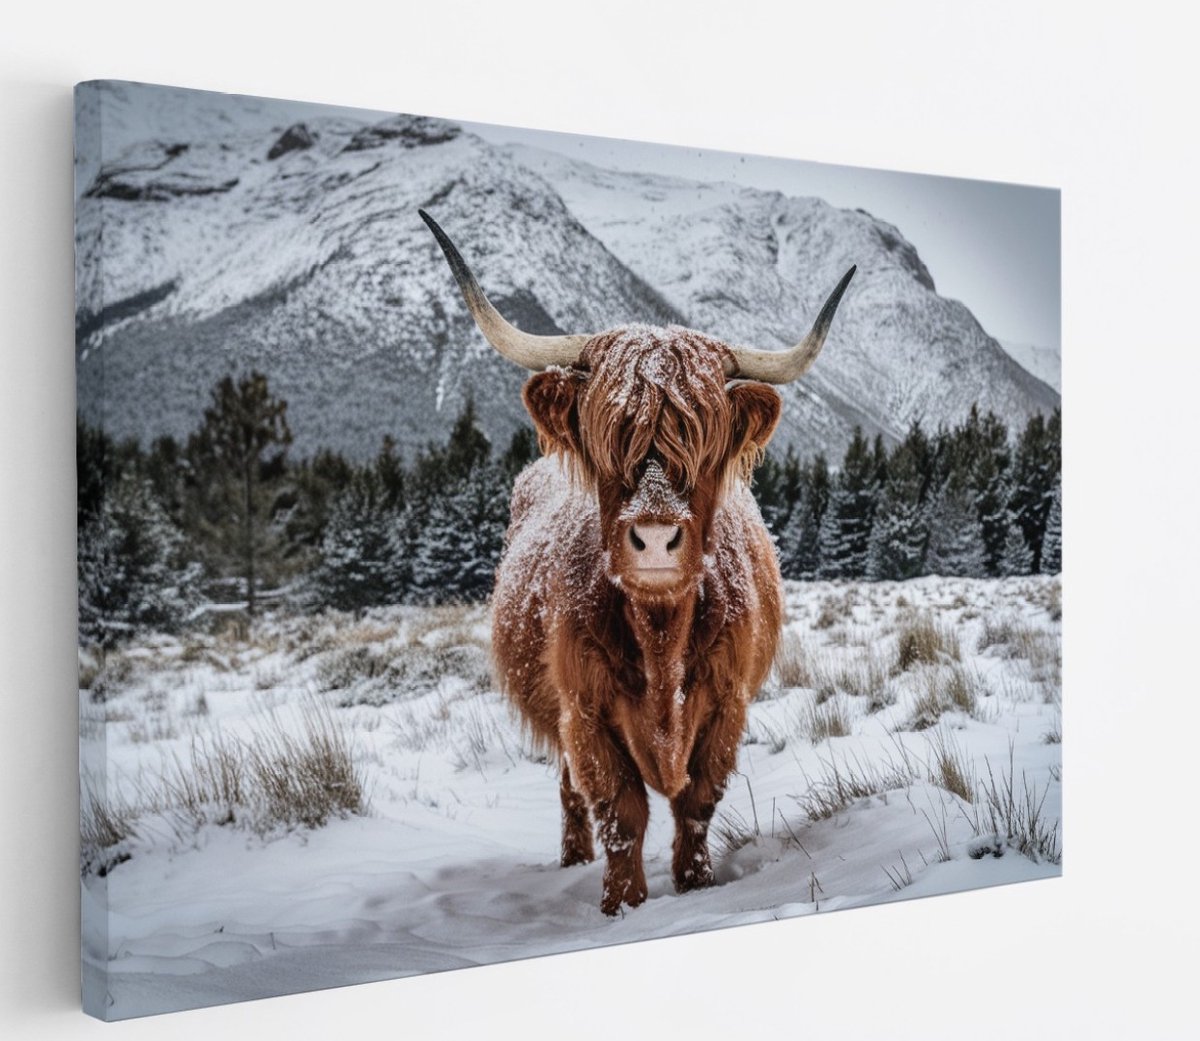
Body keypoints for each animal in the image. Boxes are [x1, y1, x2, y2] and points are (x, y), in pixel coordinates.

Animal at [420, 209, 855, 915]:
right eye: (607, 439)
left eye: (705, 443)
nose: (653, 539)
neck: (660, 634)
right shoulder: (585, 710)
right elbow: (619, 810)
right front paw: (621, 905)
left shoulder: (727, 703)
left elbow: (697, 801)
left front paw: (696, 883)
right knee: (569, 792)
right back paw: (572, 860)